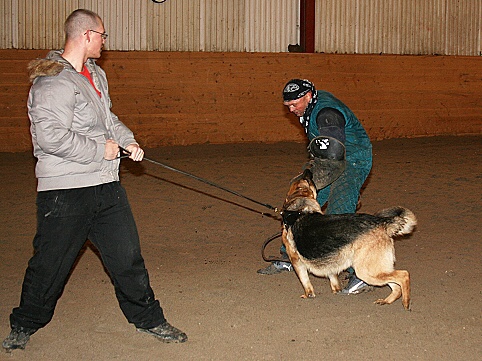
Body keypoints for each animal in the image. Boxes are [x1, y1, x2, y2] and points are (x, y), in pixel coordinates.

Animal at [280, 167, 416, 308]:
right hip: (377, 269)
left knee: (404, 275)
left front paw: (308, 295)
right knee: (396, 286)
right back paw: (387, 300)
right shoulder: (331, 262)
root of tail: (382, 223)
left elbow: (305, 282)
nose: (308, 169)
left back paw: (406, 302)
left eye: (306, 179)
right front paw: (337, 291)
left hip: (366, 271)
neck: (299, 211)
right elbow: (334, 279)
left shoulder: (296, 261)